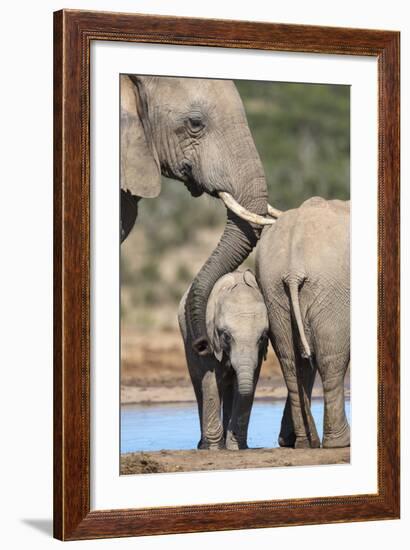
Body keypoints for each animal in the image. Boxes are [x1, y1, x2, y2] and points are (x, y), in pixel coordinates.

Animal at [177, 270, 268, 450]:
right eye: (226, 336)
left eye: (262, 338)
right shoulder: (209, 336)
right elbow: (211, 380)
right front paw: (214, 448)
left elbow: (248, 383)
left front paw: (235, 446)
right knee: (199, 385)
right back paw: (203, 445)